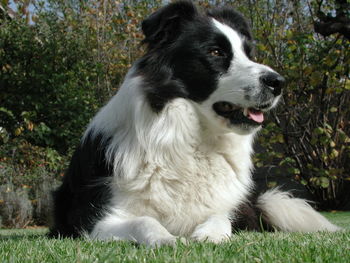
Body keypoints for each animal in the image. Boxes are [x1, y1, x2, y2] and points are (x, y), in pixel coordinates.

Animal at [48, 0, 340, 248]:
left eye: (248, 53)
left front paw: (210, 234)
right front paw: (166, 238)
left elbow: (220, 218)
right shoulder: (94, 220)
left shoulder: (224, 209)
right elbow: (145, 220)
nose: (278, 83)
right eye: (215, 52)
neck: (194, 138)